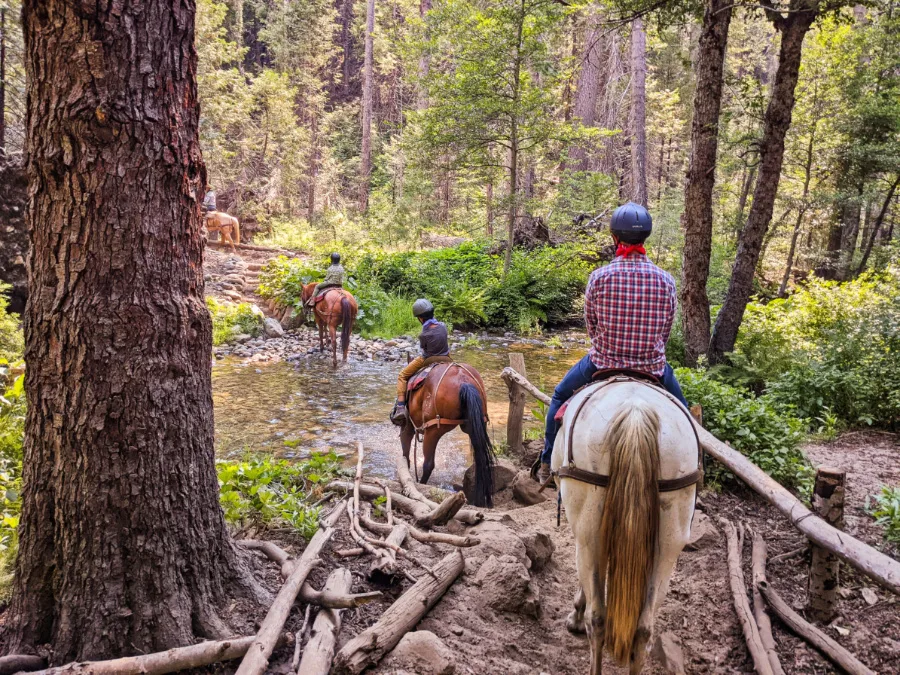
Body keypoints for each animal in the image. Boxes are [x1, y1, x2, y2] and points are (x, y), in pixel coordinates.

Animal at [402, 364, 496, 508]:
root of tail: (464, 381)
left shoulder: (408, 424)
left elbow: (405, 448)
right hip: (475, 425)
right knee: (480, 459)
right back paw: (482, 500)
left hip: (433, 430)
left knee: (428, 464)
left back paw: (422, 484)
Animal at [548, 380, 704, 675]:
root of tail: (636, 412)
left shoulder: (584, 538)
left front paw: (574, 617)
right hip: (668, 544)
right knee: (643, 630)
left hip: (590, 535)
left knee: (598, 618)